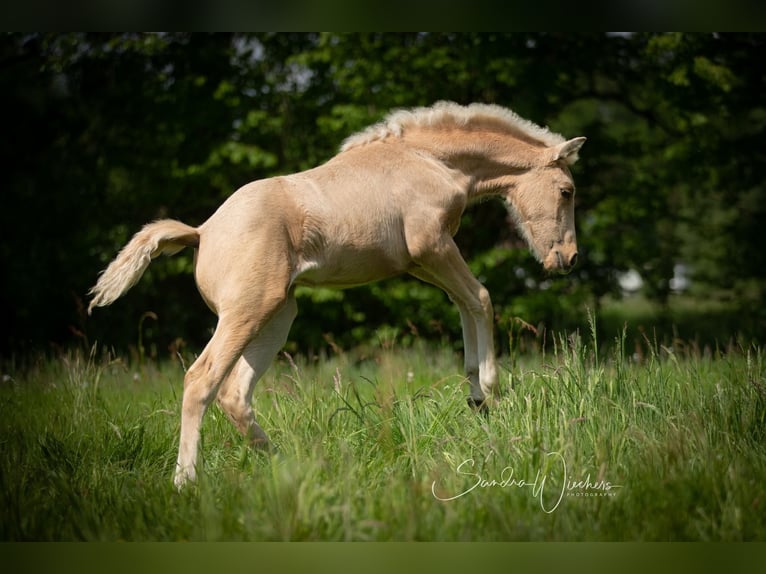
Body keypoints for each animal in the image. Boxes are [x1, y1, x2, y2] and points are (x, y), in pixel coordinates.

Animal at [91, 101, 592, 488]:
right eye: (566, 191)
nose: (568, 259)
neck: (429, 160)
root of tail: (202, 231)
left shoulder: (422, 262)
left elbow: (465, 303)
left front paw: (475, 395)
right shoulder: (431, 247)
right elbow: (482, 298)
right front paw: (487, 390)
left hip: (277, 316)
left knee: (235, 394)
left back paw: (284, 466)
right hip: (246, 313)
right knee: (200, 381)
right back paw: (186, 481)